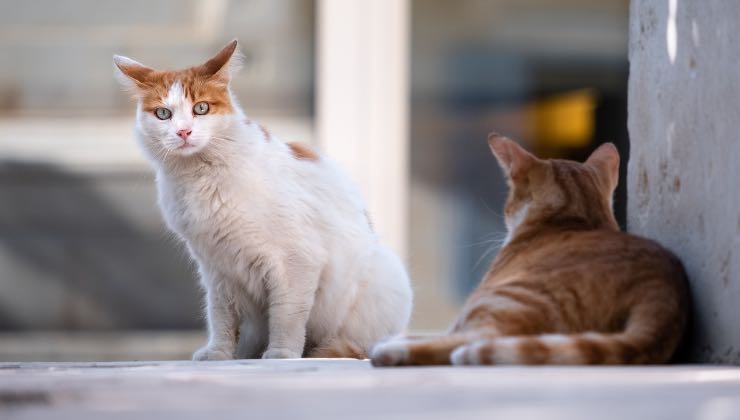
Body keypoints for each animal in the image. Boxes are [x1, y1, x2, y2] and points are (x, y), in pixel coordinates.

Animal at [118, 40, 414, 360]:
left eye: (201, 108)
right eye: (163, 114)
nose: (183, 131)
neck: (200, 176)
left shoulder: (295, 262)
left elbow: (286, 316)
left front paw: (281, 354)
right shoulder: (216, 269)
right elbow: (220, 318)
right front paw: (219, 353)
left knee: (356, 346)